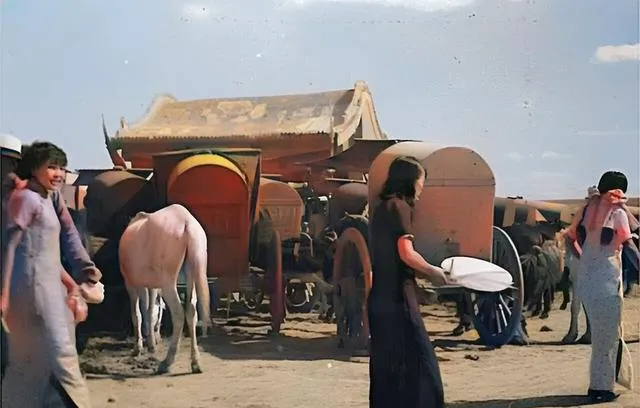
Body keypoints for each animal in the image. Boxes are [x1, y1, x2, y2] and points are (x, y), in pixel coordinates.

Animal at [118, 204, 211, 374]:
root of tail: (187, 222)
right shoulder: (151, 286)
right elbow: (149, 311)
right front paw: (151, 343)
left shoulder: (132, 285)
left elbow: (137, 314)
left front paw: (139, 347)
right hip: (191, 274)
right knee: (191, 312)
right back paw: (195, 362)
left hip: (167, 284)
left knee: (178, 314)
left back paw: (167, 362)